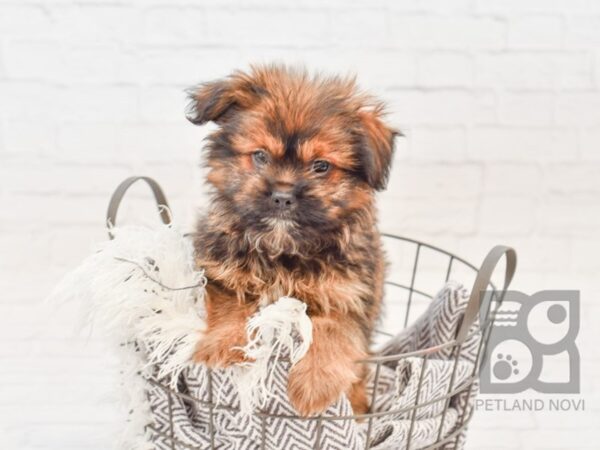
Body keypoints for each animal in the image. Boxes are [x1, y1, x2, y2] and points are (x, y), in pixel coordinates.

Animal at [190, 65, 396, 416]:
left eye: (321, 166)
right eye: (260, 156)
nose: (282, 196)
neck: (284, 250)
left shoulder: (349, 296)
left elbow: (332, 329)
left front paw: (315, 382)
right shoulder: (222, 271)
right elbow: (232, 305)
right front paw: (222, 346)